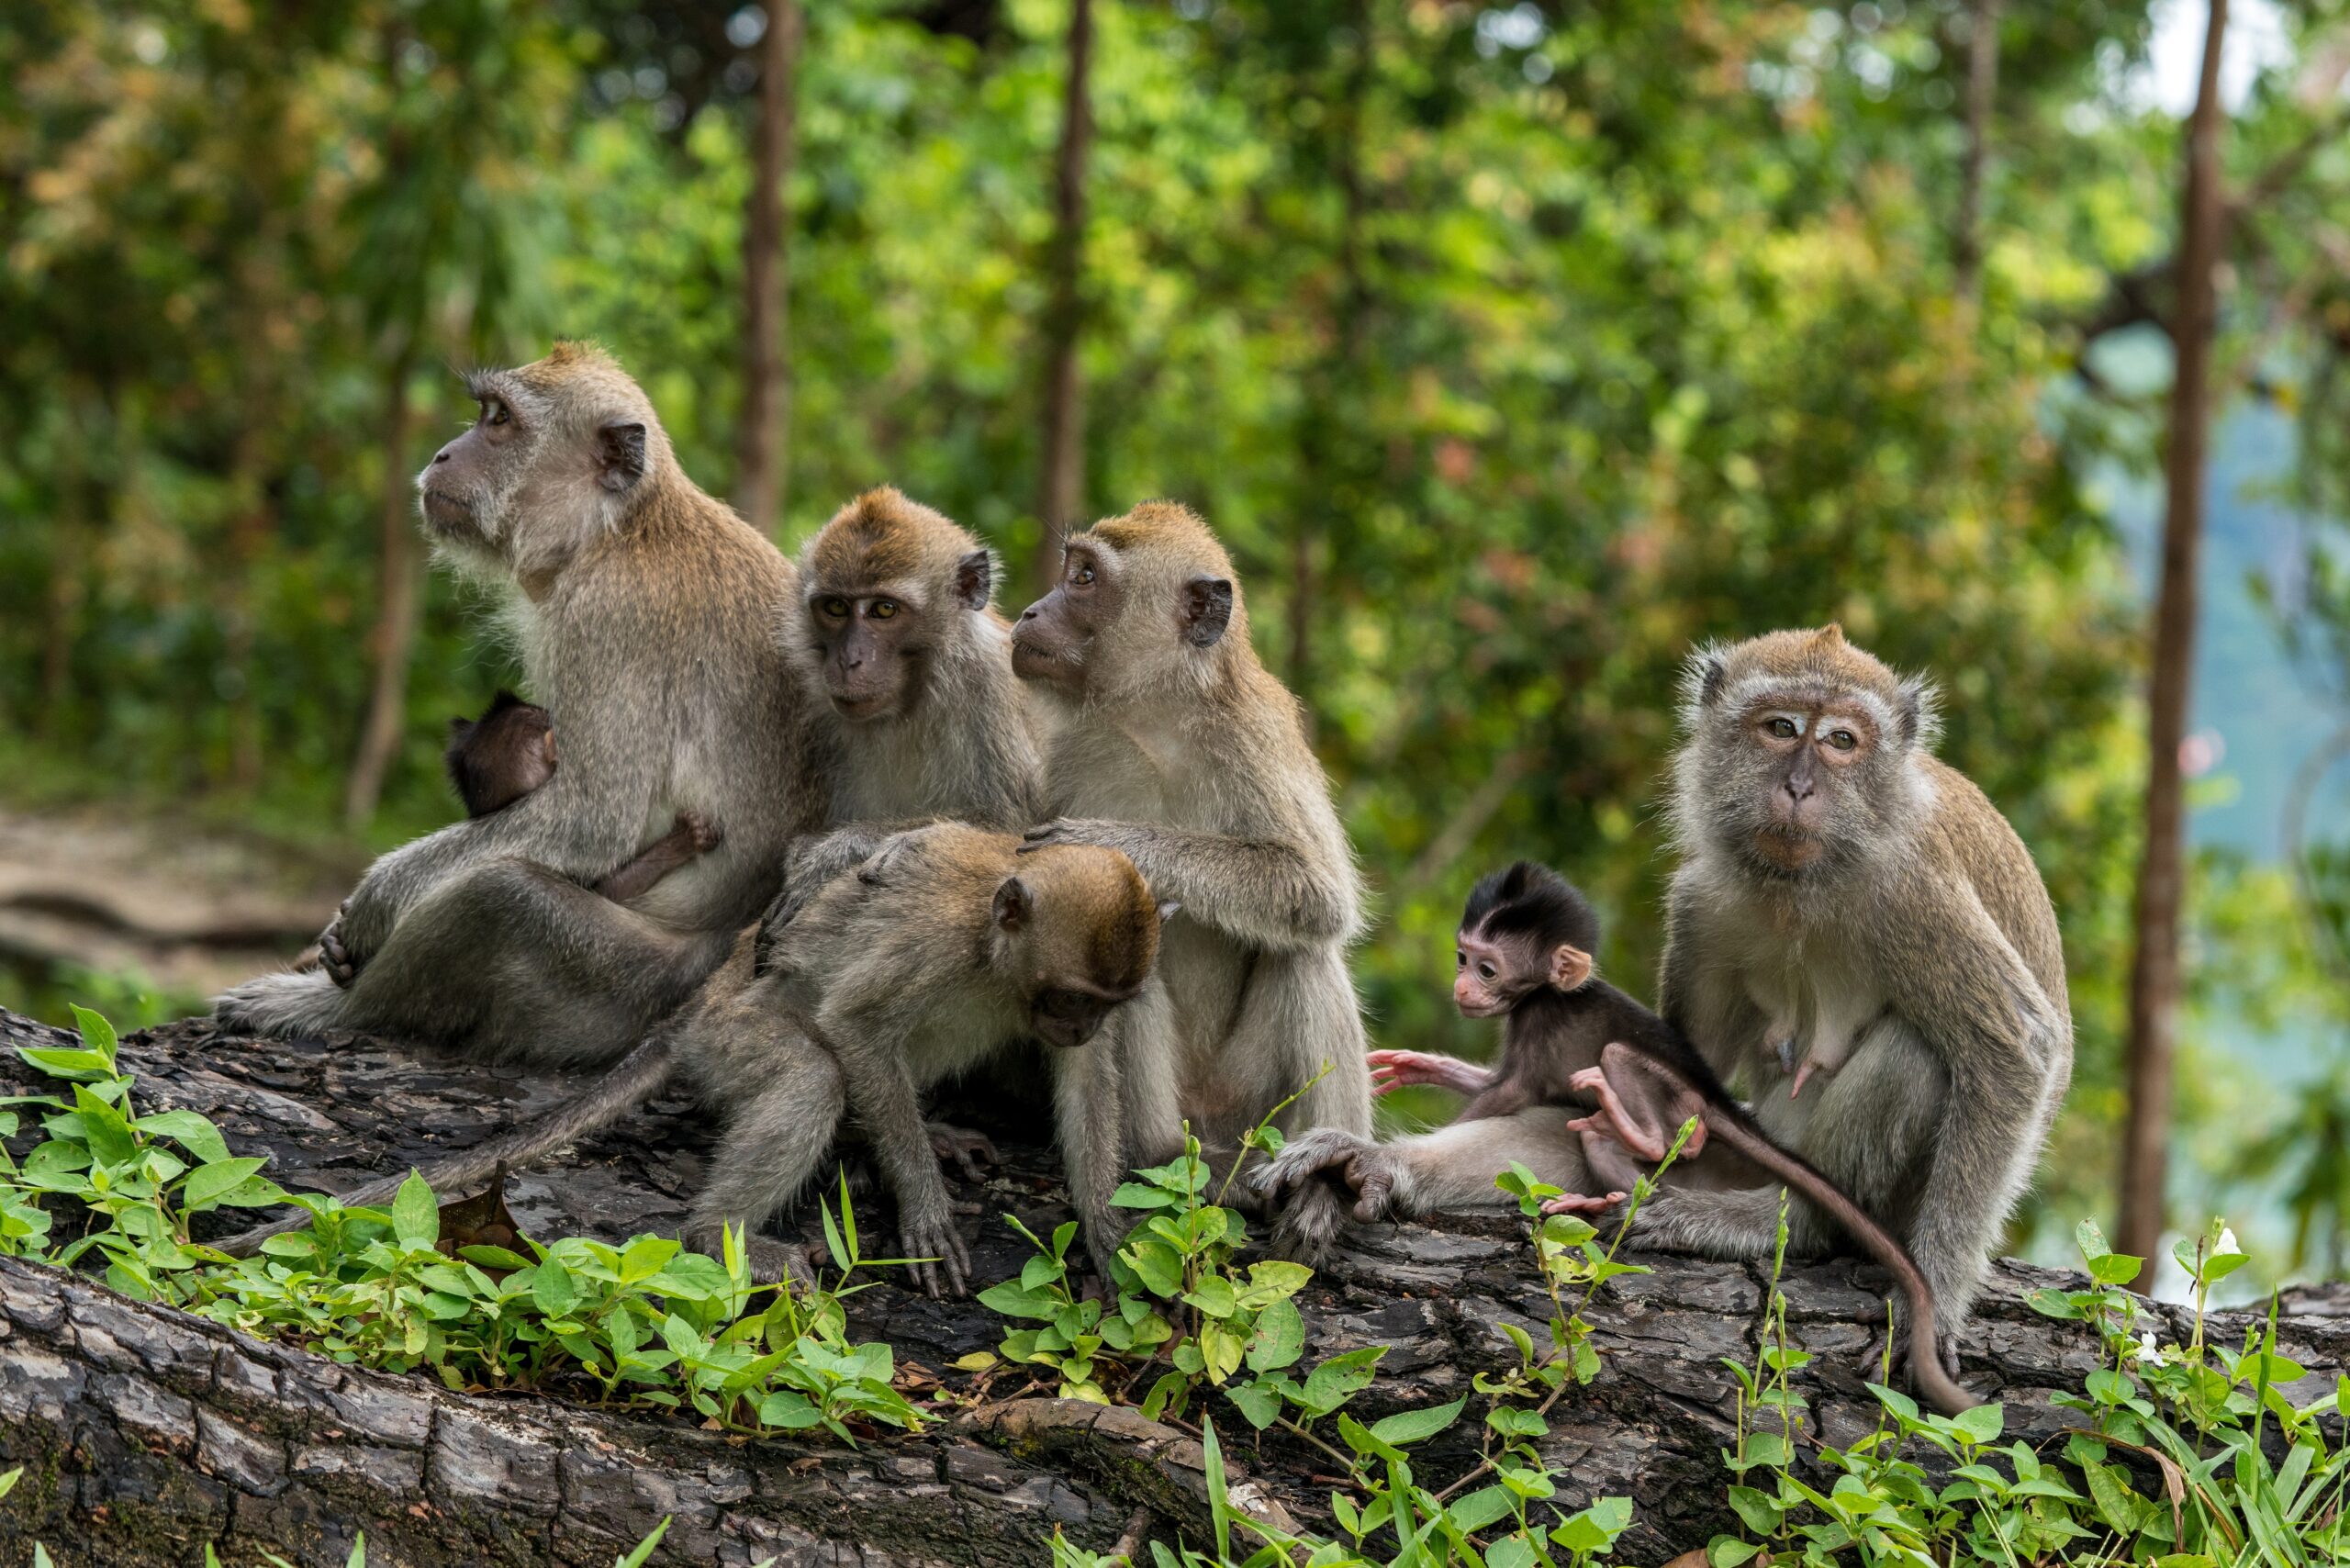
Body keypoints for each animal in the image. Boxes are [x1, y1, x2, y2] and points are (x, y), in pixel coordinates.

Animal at [1010, 500, 1372, 1250]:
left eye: (1084, 578)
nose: (1030, 611)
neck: (1158, 719)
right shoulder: (1071, 759)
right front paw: (1096, 1209)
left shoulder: (1259, 737)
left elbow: (1318, 893)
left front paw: (1117, 843)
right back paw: (1164, 1156)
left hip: (1259, 1109)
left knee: (1305, 954)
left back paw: (1325, 1175)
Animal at [1617, 625, 2077, 1382]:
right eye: (1781, 728)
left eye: (1840, 741)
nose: (1800, 786)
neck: (1803, 884)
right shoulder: (1701, 901)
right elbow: (1689, 1065)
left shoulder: (1913, 890)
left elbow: (2016, 1047)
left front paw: (1933, 1307)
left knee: (1916, 1055)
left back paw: (1798, 1223)